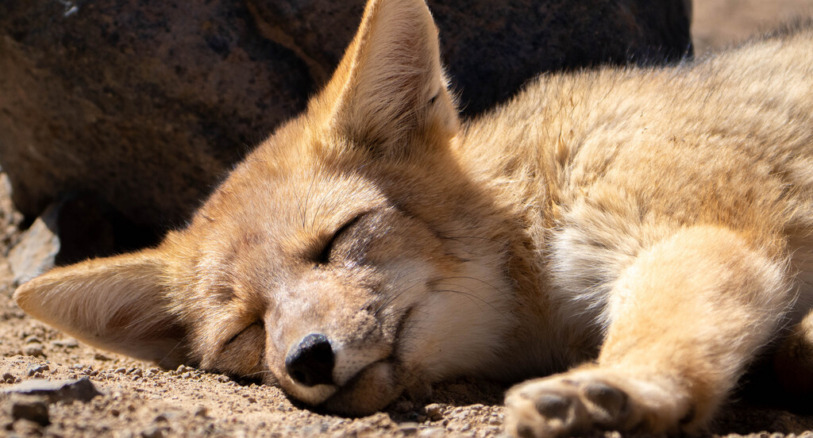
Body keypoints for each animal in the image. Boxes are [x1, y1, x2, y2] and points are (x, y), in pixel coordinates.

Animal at [11, 0, 813, 436]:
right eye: (243, 332)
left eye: (336, 240)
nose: (307, 359)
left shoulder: (697, 229)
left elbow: (659, 328)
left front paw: (624, 388)